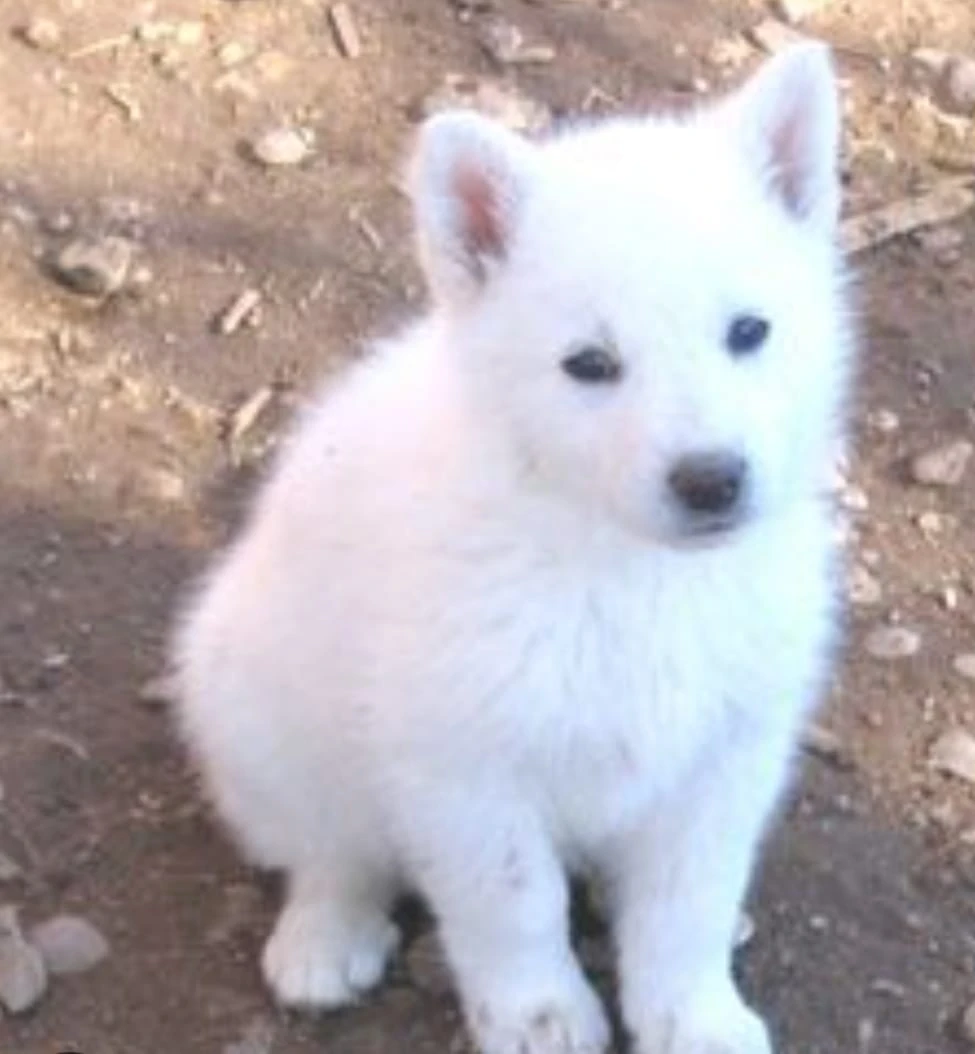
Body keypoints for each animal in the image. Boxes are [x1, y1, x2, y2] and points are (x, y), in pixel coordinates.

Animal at [172, 45, 851, 1054]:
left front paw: (693, 1014)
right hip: (261, 719)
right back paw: (324, 937)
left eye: (748, 331)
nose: (712, 480)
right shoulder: (462, 768)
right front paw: (541, 1016)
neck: (625, 569)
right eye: (589, 364)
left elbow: (684, 902)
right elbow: (514, 904)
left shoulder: (723, 758)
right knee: (327, 849)